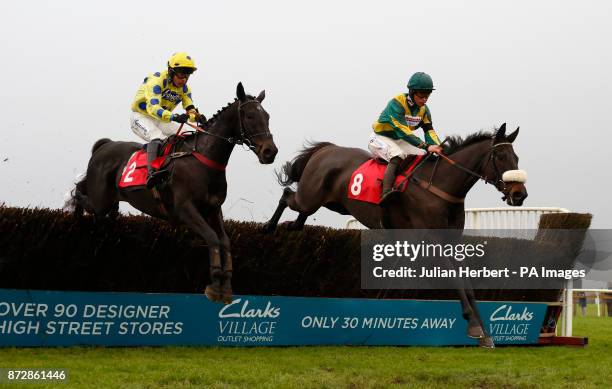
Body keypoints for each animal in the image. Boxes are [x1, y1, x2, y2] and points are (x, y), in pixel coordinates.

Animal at [69, 82, 278, 304]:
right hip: (101, 201)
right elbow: (212, 238)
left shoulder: (214, 209)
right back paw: (76, 212)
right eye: (249, 116)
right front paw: (214, 285)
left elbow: (225, 242)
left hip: (109, 204)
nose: (270, 152)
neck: (203, 159)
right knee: (82, 197)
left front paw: (226, 287)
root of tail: (105, 145)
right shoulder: (185, 209)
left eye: (267, 116)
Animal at [266, 123, 528, 346]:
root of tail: (326, 149)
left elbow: (467, 283)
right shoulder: (431, 242)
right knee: (287, 196)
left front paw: (485, 332)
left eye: (516, 158)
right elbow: (453, 278)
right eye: (500, 157)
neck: (439, 187)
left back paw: (291, 226)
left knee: (299, 213)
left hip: (330, 203)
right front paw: (473, 325)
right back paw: (269, 227)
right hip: (310, 197)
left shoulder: (450, 242)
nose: (519, 194)